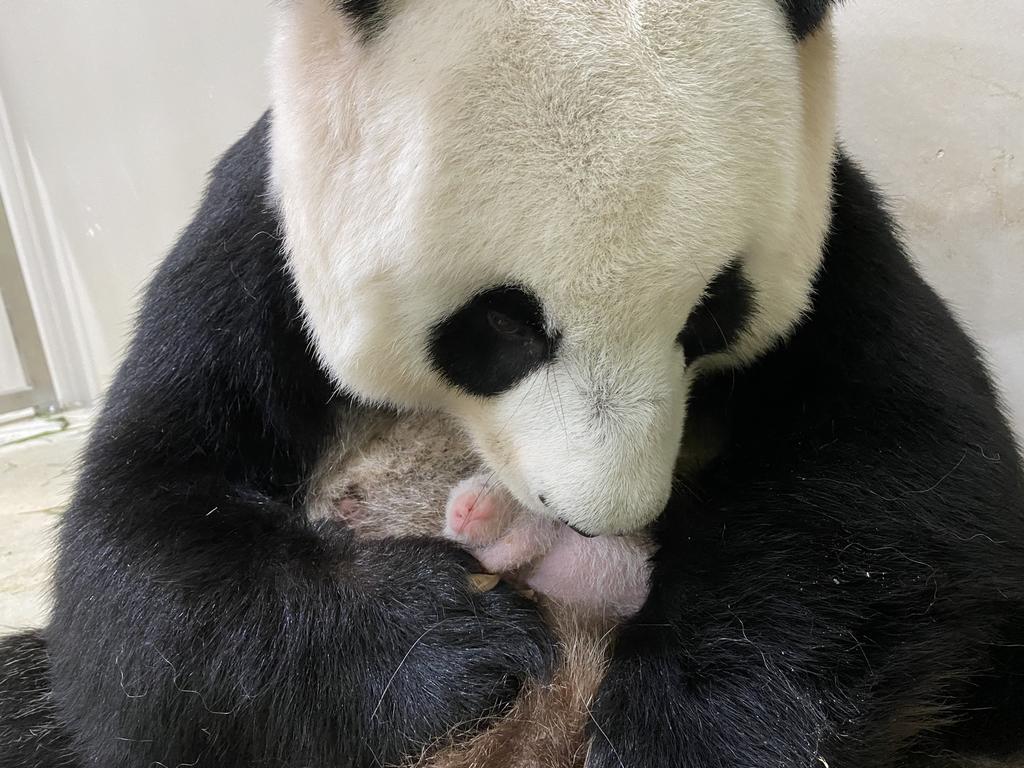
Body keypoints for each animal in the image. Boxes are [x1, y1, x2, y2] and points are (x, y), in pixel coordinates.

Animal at [2, 0, 1023, 767]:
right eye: (501, 325)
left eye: (711, 315)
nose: (600, 520)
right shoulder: (263, 231)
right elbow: (137, 551)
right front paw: (450, 637)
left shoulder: (834, 221)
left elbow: (903, 475)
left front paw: (678, 729)